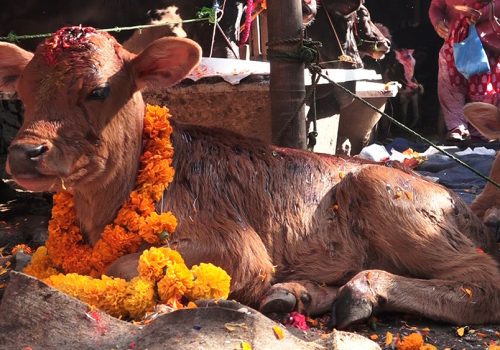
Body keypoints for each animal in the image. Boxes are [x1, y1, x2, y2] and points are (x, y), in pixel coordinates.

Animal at [0, 27, 500, 328]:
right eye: (21, 91)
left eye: (100, 90)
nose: (26, 152)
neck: (102, 211)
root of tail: (457, 204)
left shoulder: (236, 247)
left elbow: (117, 266)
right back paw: (297, 294)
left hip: (386, 194)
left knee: (484, 280)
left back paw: (361, 290)